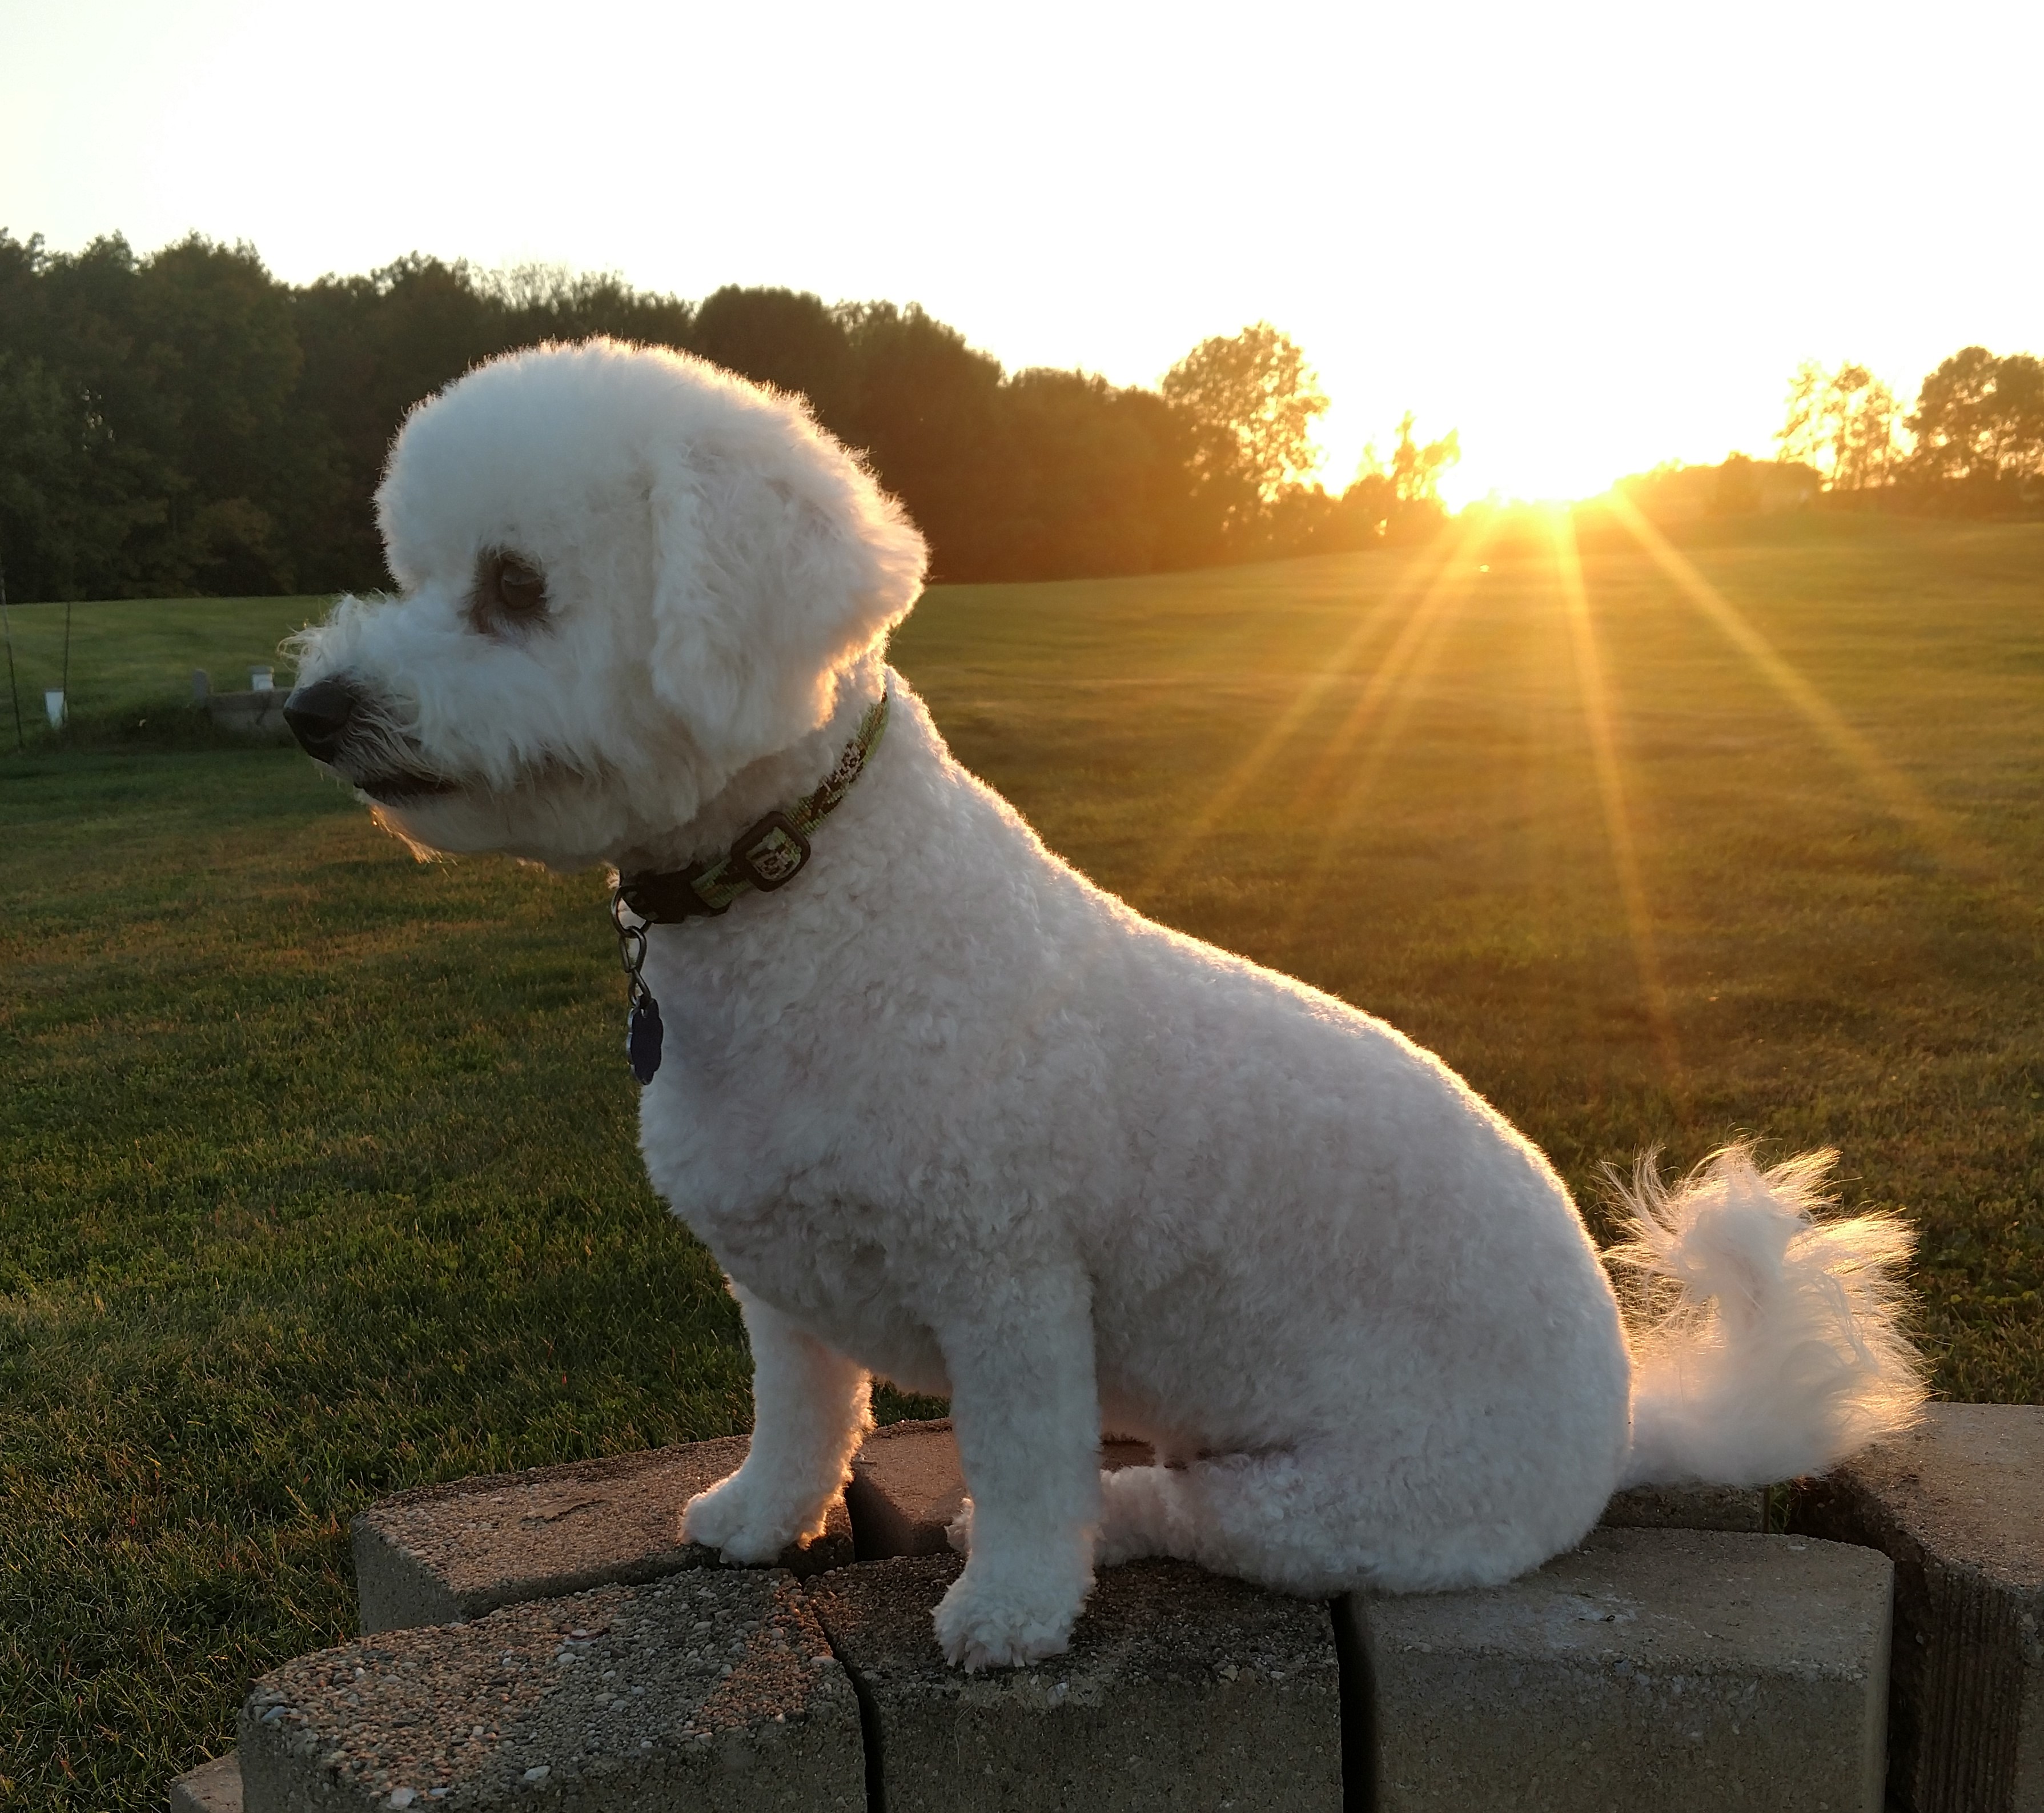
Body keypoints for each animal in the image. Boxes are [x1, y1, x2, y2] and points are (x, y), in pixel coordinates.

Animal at [280, 339, 1921, 1676]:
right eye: (417, 569)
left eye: (515, 586)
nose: (310, 708)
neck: (803, 889)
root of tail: (1627, 1421)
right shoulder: (781, 1274)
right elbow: (799, 1409)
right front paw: (757, 1517)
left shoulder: (1006, 1276)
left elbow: (1018, 1461)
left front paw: (1008, 1612)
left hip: (1349, 1501)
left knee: (1171, 1508)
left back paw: (1100, 1520)